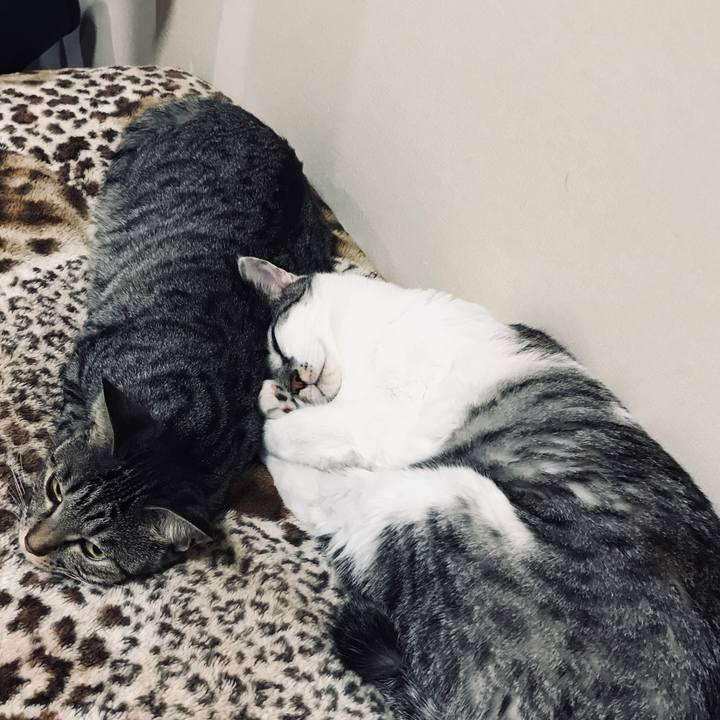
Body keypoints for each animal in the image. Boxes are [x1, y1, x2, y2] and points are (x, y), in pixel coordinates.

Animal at [15, 98, 335, 585]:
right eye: (54, 490)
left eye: (93, 549)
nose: (31, 544)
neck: (180, 420)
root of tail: (236, 112)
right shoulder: (83, 361)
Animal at [238, 256, 720, 720]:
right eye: (279, 363)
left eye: (277, 344)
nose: (292, 385)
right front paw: (276, 402)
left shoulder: (386, 419)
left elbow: (287, 434)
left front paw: (271, 418)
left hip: (437, 497)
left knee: (321, 500)